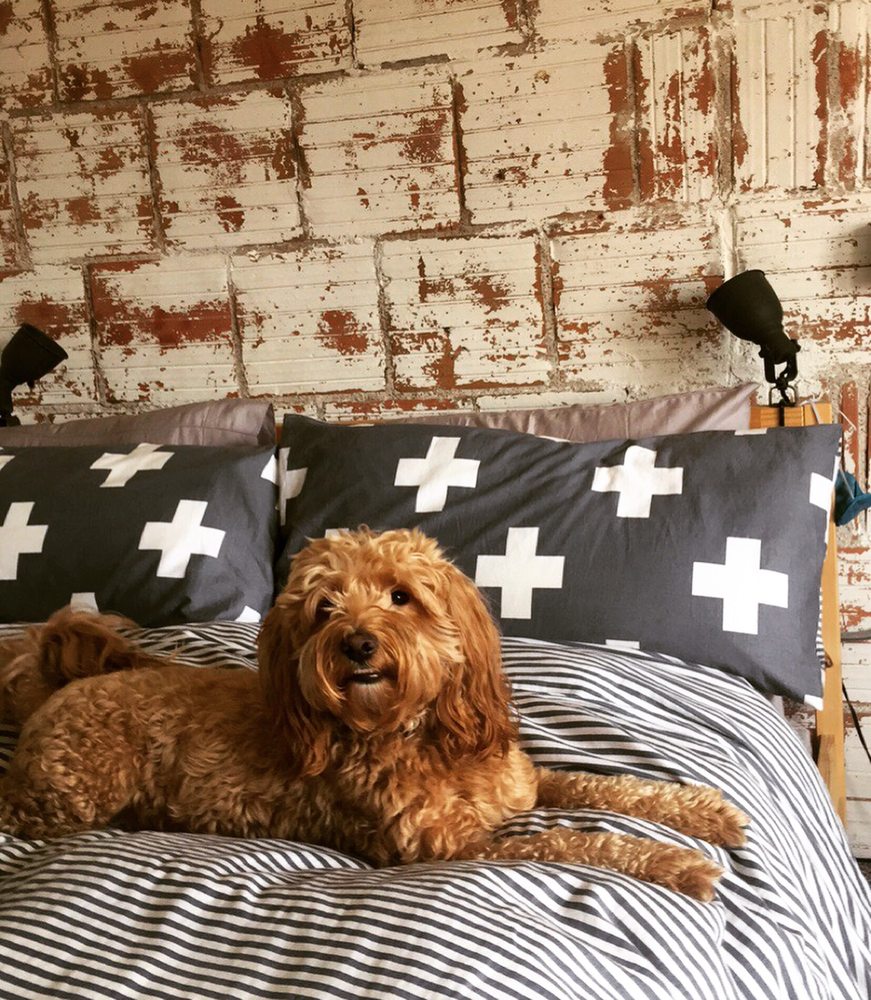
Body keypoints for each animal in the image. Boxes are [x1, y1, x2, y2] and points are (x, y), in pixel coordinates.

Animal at [0, 527, 747, 899]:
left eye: (400, 596)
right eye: (323, 609)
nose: (356, 643)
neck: (415, 733)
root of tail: (51, 692)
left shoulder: (526, 788)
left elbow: (606, 787)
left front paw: (704, 814)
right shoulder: (454, 850)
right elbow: (578, 841)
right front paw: (678, 865)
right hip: (74, 792)